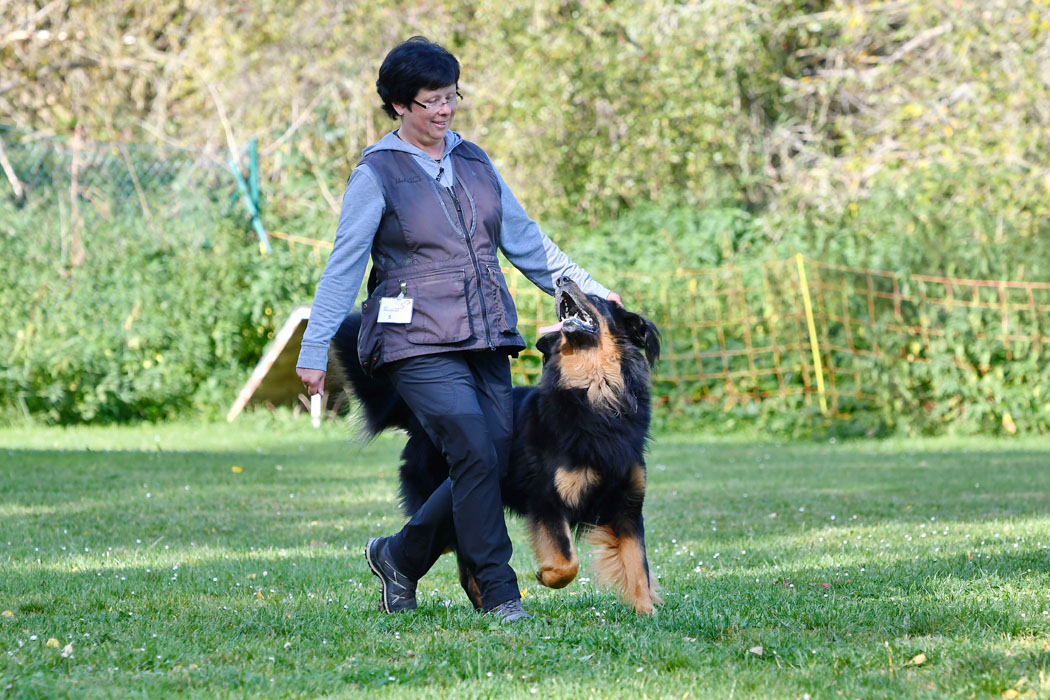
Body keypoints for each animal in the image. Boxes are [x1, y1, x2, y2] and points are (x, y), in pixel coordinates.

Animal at [333, 277, 663, 608]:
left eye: (595, 297)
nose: (561, 279)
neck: (596, 394)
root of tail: (417, 420)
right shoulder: (546, 499)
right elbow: (568, 561)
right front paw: (546, 575)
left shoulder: (627, 507)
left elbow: (638, 569)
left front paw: (646, 612)